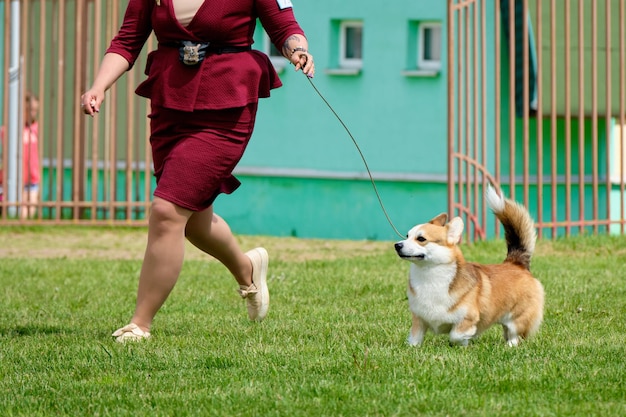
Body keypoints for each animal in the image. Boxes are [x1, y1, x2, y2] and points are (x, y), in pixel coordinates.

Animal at [394, 184, 540, 344]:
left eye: (421, 239)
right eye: (407, 236)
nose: (397, 245)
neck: (429, 274)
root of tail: (516, 262)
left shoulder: (467, 318)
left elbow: (456, 335)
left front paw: (464, 340)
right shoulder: (418, 320)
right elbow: (415, 338)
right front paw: (412, 347)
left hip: (517, 318)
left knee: (514, 334)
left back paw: (510, 345)